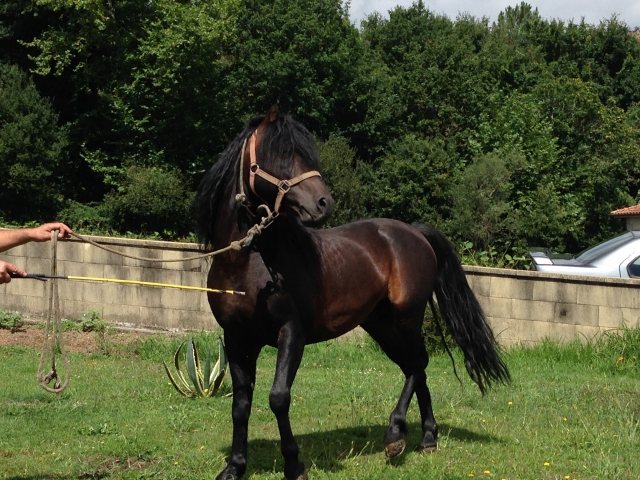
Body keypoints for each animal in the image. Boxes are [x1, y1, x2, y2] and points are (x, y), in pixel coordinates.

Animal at [195, 107, 510, 478]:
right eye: (280, 154)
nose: (324, 203)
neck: (248, 265)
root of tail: (414, 232)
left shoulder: (292, 333)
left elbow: (278, 397)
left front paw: (294, 463)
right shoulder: (237, 339)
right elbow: (241, 405)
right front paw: (235, 466)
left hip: (407, 317)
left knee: (417, 364)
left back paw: (398, 435)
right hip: (380, 325)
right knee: (414, 366)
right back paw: (425, 438)